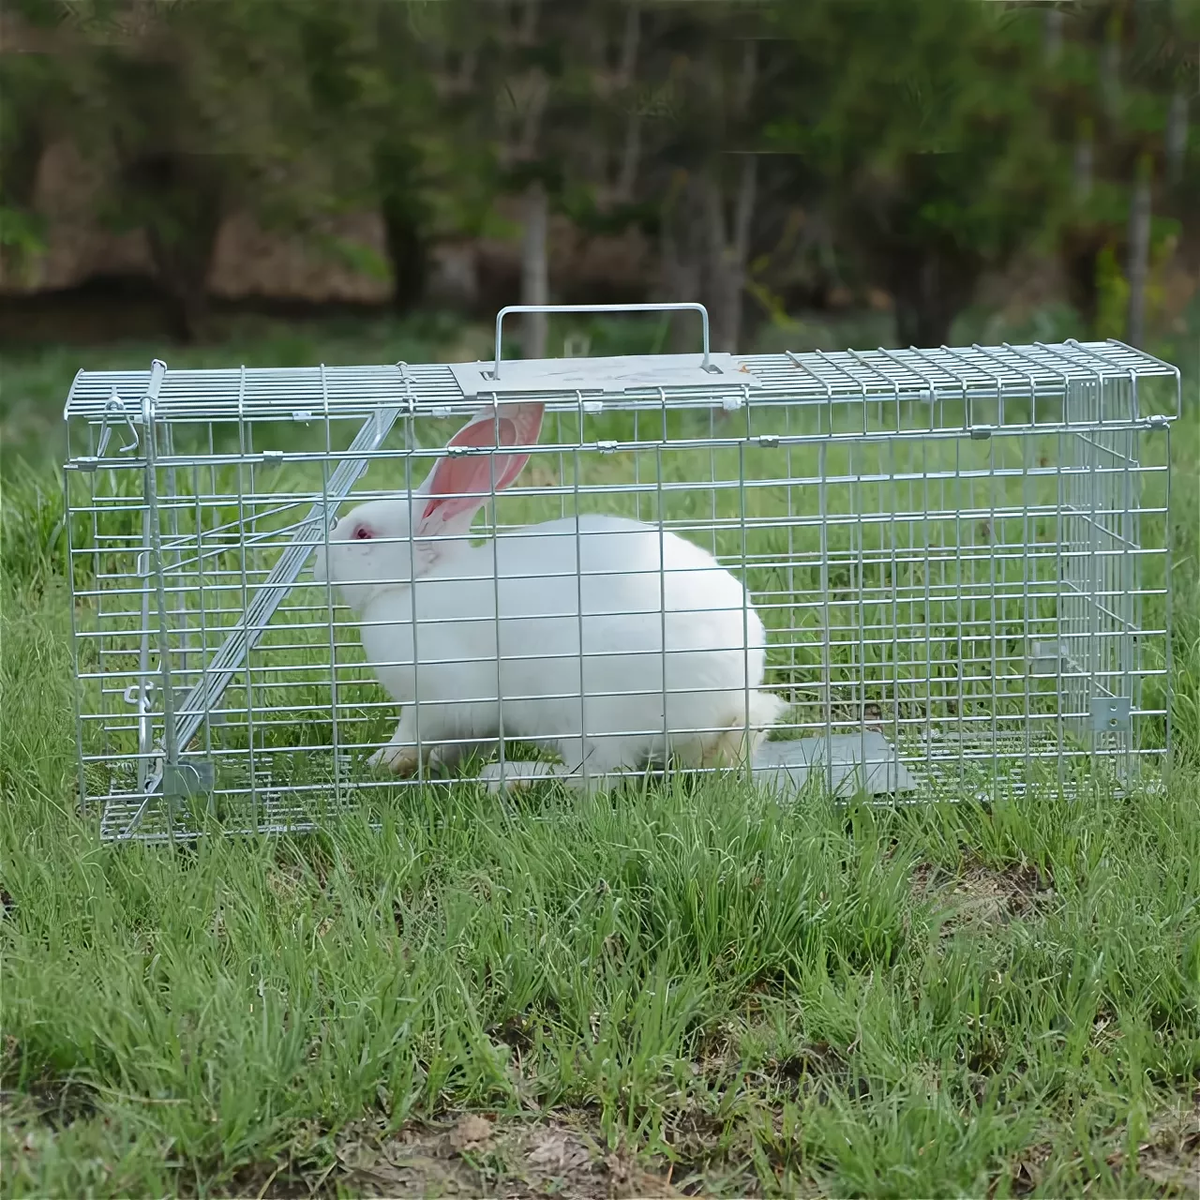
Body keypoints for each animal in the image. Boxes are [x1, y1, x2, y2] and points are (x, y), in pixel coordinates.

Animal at [314, 403, 792, 792]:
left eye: (362, 534)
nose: (318, 567)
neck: (417, 582)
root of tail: (726, 706)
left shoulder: (440, 699)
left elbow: (413, 735)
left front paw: (382, 762)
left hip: (596, 714)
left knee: (598, 778)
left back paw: (507, 779)